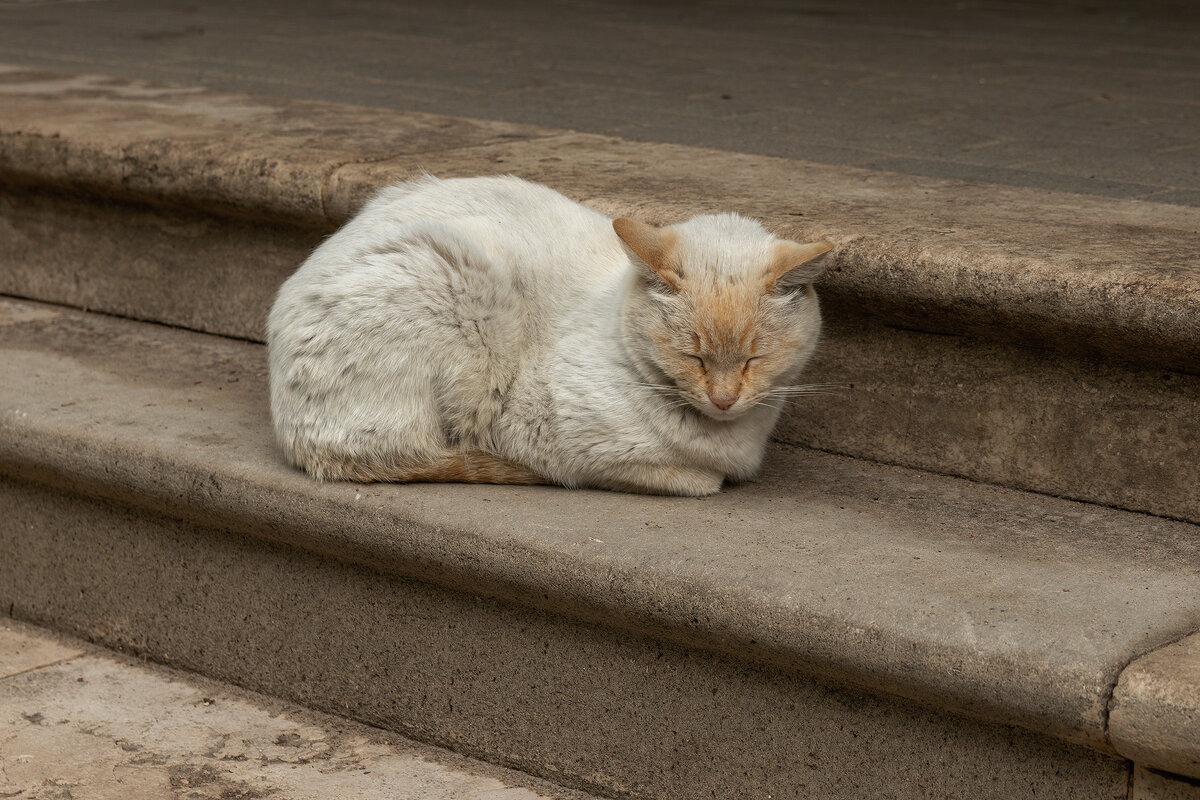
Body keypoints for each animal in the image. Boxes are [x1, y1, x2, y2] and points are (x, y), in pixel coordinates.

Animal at [267, 175, 830, 494]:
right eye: (692, 355)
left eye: (756, 357)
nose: (724, 398)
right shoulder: (552, 440)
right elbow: (693, 481)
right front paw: (704, 475)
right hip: (451, 271)